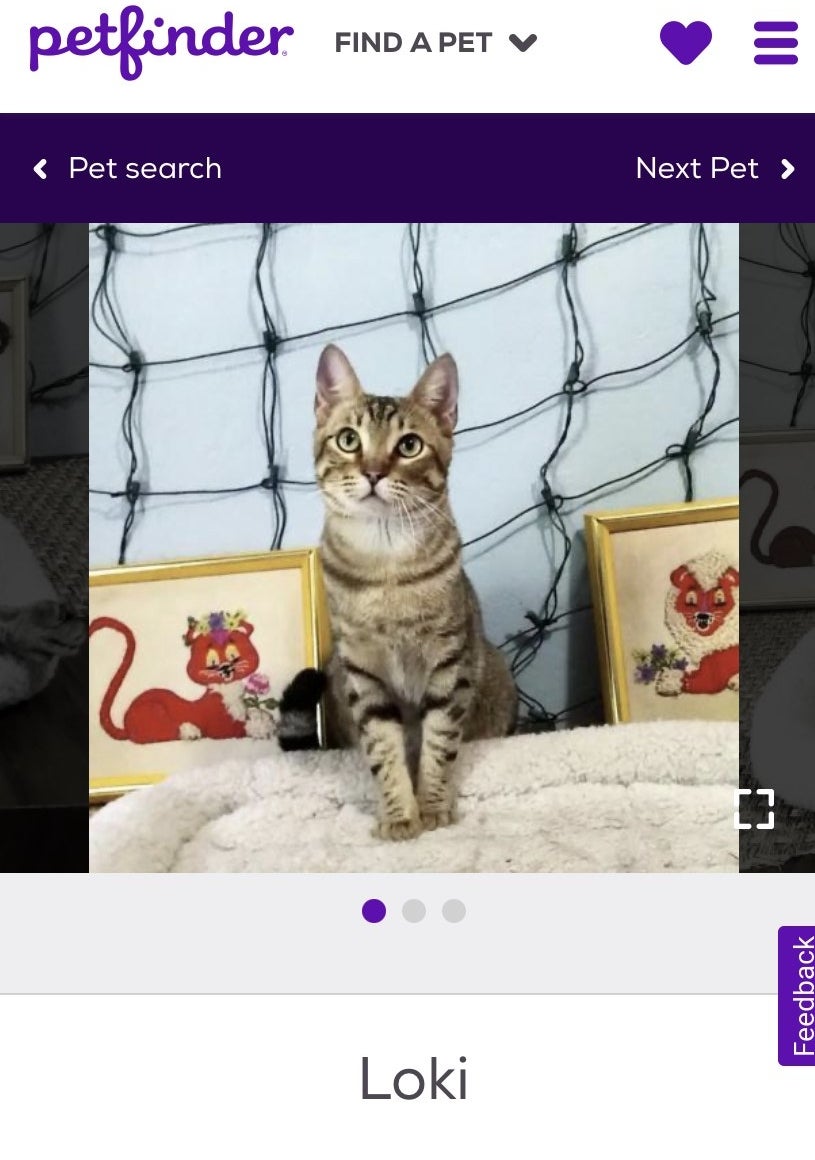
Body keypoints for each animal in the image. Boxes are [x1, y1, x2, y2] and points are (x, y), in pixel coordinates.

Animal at [313, 343, 517, 844]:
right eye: (348, 440)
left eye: (409, 445)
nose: (372, 472)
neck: (386, 563)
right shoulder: (362, 673)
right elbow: (382, 750)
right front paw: (400, 815)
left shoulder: (449, 664)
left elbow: (439, 743)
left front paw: (433, 807)